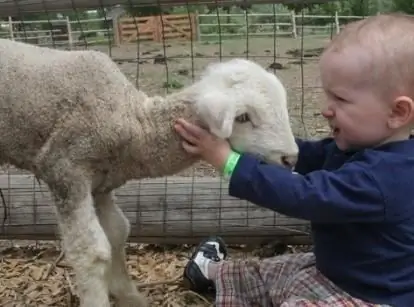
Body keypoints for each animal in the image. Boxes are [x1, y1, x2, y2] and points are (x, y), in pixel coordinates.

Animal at [0, 38, 300, 307]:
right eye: (243, 118)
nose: (291, 158)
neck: (135, 124)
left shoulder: (102, 184)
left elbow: (117, 233)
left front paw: (130, 297)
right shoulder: (64, 169)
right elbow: (91, 252)